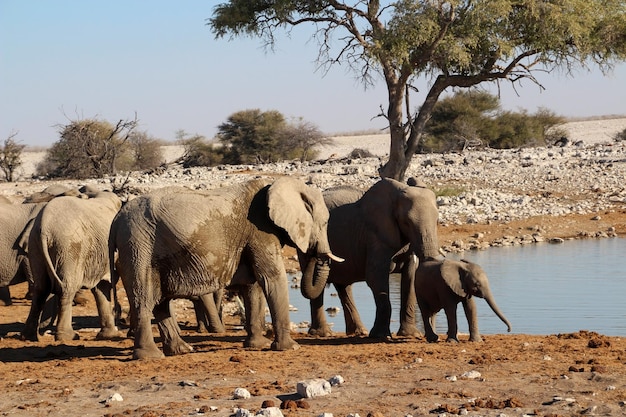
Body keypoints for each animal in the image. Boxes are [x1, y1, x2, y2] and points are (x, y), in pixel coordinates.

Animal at [21, 188, 121, 342]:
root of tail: (44, 227)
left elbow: (101, 287)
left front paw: (108, 336)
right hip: (69, 248)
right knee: (66, 288)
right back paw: (68, 336)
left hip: (35, 246)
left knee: (41, 288)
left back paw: (28, 336)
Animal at [109, 176, 338, 358]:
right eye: (325, 223)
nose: (315, 252)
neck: (277, 182)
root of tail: (116, 220)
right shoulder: (260, 230)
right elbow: (271, 277)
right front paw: (290, 348)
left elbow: (253, 285)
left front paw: (257, 345)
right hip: (138, 246)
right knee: (144, 298)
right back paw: (150, 356)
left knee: (160, 301)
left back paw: (182, 350)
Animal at [302, 176, 438, 338]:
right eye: (406, 222)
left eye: (437, 221)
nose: (432, 336)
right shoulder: (375, 235)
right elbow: (375, 277)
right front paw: (380, 336)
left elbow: (410, 277)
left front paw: (410, 335)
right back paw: (323, 334)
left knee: (343, 286)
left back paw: (359, 332)